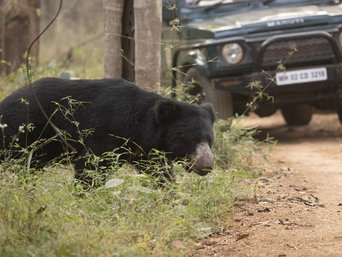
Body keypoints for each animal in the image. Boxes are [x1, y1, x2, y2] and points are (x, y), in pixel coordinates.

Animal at [0, 77, 215, 182]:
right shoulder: (107, 131)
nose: (207, 165)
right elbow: (90, 166)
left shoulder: (144, 151)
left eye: (210, 141)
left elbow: (160, 172)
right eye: (192, 139)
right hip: (22, 131)